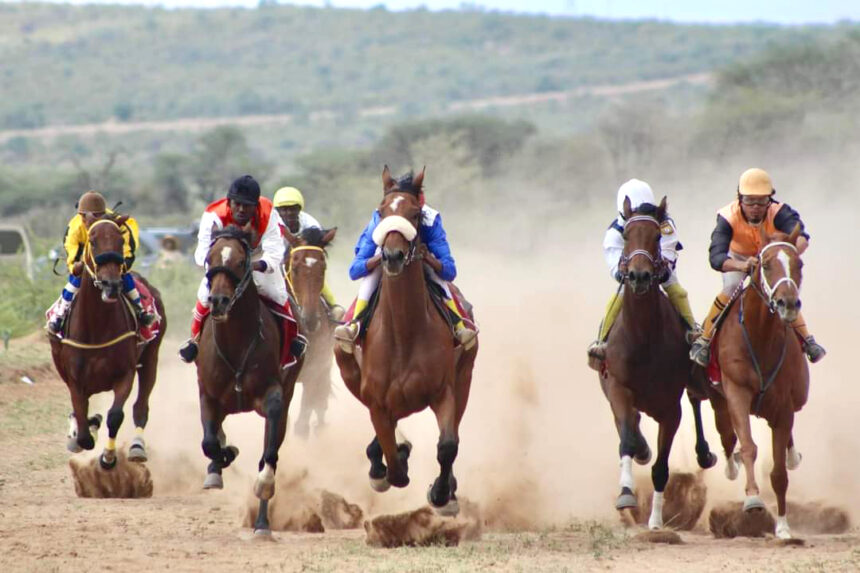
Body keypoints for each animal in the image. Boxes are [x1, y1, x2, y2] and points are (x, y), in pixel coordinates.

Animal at [49, 214, 166, 470]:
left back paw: (137, 447)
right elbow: (83, 425)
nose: (111, 284)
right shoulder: (75, 380)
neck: (97, 328)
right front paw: (82, 432)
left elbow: (115, 416)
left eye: (119, 240)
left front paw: (108, 457)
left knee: (141, 407)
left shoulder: (125, 374)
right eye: (92, 242)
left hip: (151, 357)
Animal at [195, 223, 303, 536]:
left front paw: (263, 488)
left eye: (241, 262)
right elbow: (210, 442)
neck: (237, 344)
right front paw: (223, 457)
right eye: (210, 259)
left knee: (272, 447)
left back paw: (262, 522)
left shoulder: (274, 397)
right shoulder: (208, 395)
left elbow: (268, 457)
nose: (218, 301)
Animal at [334, 166, 478, 516]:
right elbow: (393, 464)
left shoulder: (444, 391)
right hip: (349, 373)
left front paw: (442, 494)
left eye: (414, 214)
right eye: (382, 211)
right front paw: (387, 465)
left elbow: (448, 446)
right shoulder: (376, 399)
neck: (404, 332)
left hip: (465, 377)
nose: (392, 256)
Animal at [598, 197, 716, 529]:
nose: (639, 276)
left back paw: (704, 453)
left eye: (655, 237)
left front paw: (655, 521)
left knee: (696, 399)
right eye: (626, 236)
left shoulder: (670, 407)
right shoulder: (619, 388)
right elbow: (626, 438)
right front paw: (626, 493)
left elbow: (662, 468)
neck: (643, 339)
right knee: (630, 424)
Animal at [706, 225, 809, 539]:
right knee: (727, 436)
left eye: (799, 264)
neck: (760, 335)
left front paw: (784, 527)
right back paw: (731, 465)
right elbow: (748, 446)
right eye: (765, 264)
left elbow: (779, 472)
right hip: (719, 399)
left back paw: (792, 456)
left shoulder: (784, 406)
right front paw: (752, 500)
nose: (788, 304)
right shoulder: (736, 392)